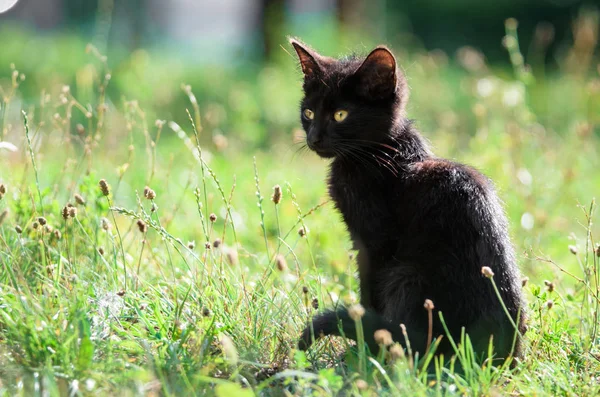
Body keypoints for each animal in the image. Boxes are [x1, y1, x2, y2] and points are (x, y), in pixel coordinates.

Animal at [292, 38, 528, 364]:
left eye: (341, 115)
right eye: (309, 113)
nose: (314, 138)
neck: (383, 151)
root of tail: (497, 359)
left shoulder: (375, 242)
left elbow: (369, 293)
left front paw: (364, 351)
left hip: (406, 274)